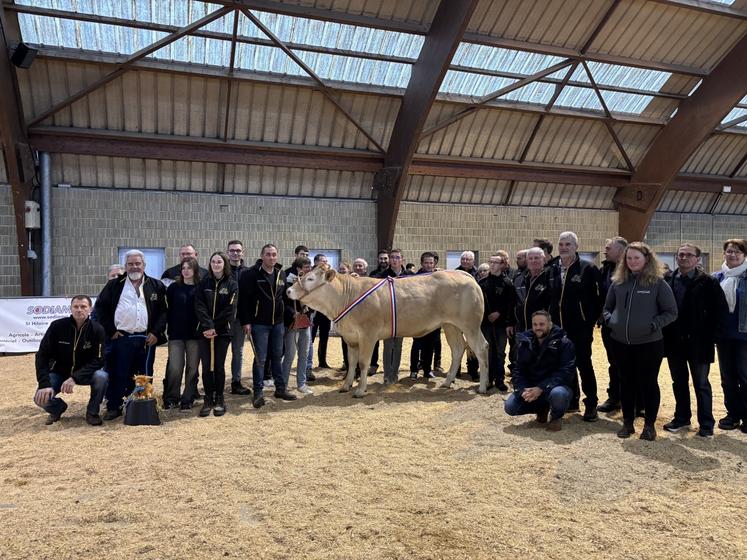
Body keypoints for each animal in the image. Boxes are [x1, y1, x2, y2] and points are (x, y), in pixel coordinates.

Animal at [286, 268, 490, 396]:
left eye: (310, 279)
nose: (288, 290)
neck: (347, 296)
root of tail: (463, 274)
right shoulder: (350, 337)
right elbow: (351, 363)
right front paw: (346, 386)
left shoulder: (368, 335)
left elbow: (363, 363)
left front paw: (360, 391)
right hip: (450, 325)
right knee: (458, 349)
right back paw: (447, 382)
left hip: (470, 325)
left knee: (481, 348)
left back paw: (482, 387)